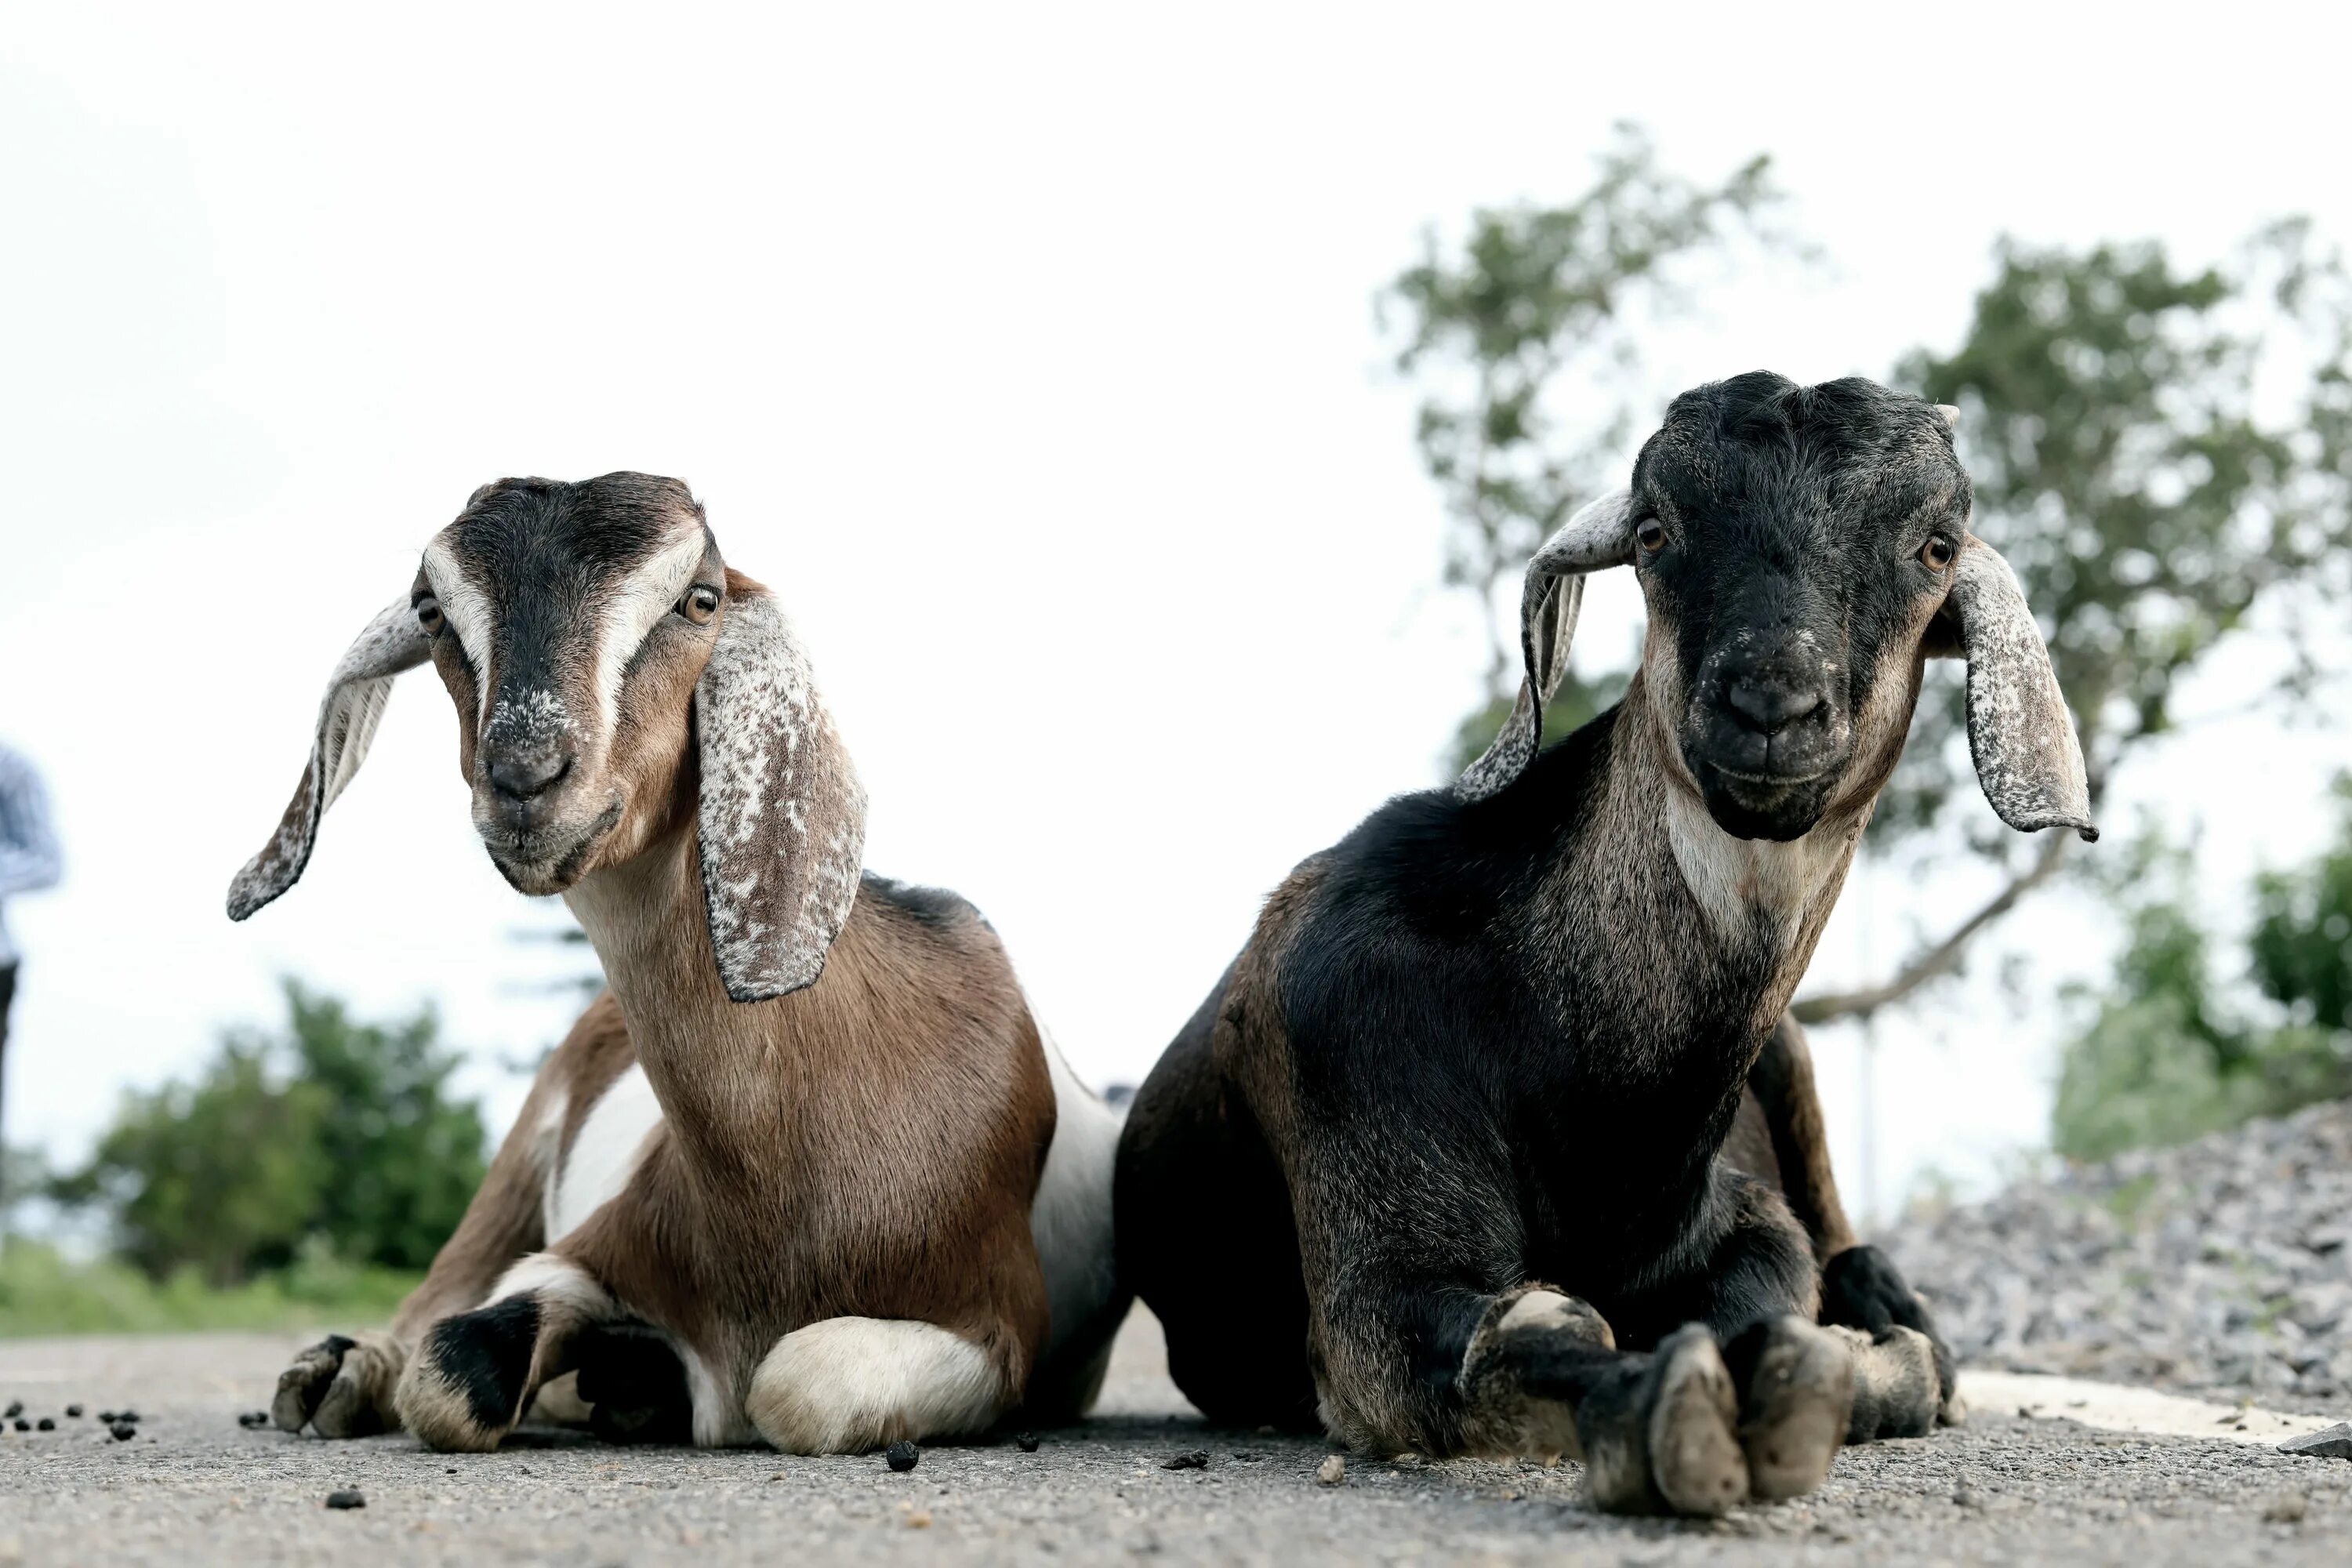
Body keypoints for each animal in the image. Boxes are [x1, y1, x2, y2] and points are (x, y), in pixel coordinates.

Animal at [1120, 373, 2098, 1514]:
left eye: (1936, 543)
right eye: (1655, 530)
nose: (1771, 704)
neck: (1607, 1107)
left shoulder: (1735, 1215)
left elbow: (1773, 1287)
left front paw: (1848, 1368)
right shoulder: (1365, 1160)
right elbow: (1512, 1334)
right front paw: (1672, 1415)